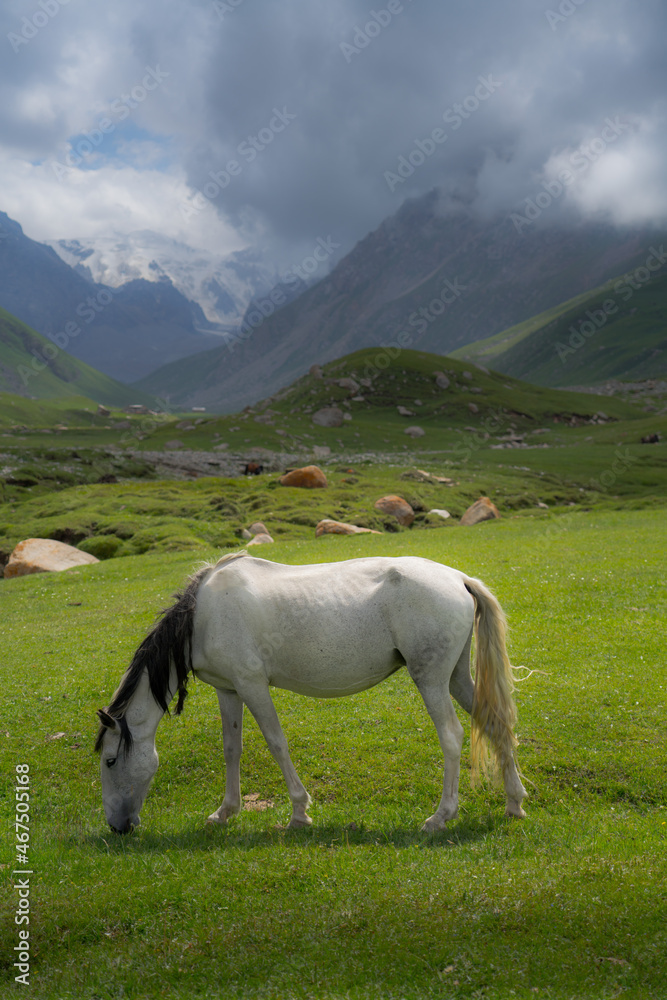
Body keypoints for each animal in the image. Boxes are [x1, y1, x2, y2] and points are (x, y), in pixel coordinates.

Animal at [96, 552, 527, 834]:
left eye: (111, 761)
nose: (118, 826)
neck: (201, 615)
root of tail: (458, 578)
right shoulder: (228, 690)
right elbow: (231, 748)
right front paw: (225, 812)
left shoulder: (252, 685)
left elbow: (276, 742)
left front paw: (299, 812)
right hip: (455, 678)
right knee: (495, 725)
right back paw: (514, 803)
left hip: (431, 680)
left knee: (452, 737)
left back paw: (441, 816)